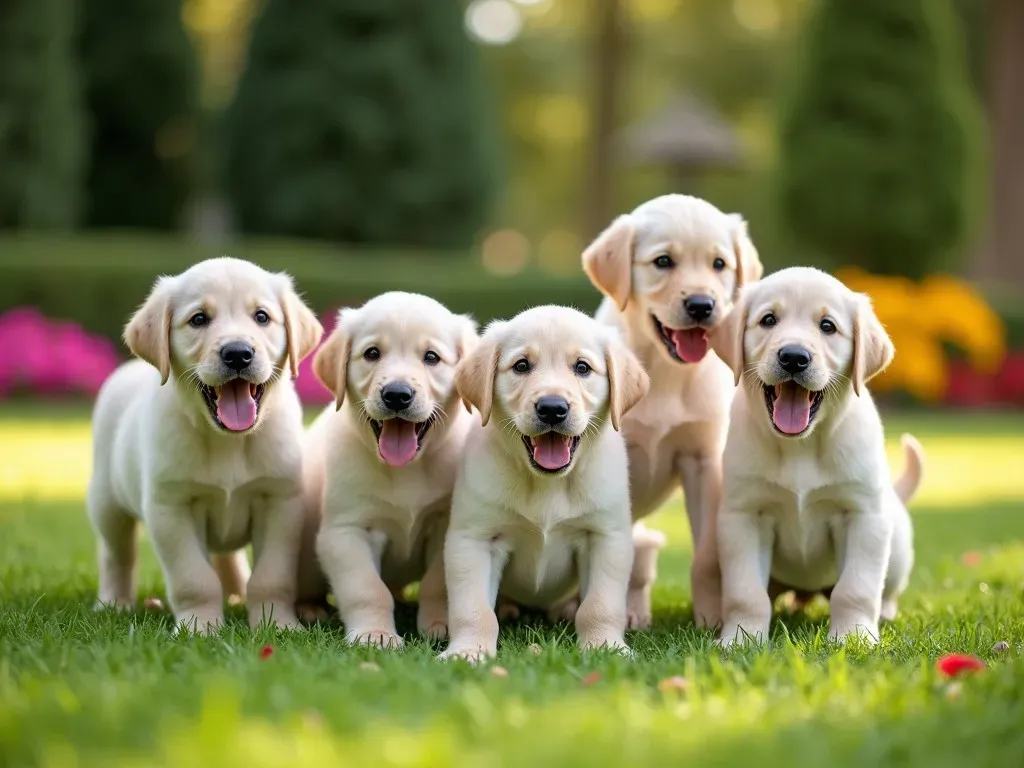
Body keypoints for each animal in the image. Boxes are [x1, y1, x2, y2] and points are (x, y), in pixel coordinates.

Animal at [86, 256, 321, 634]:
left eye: (262, 317)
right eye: (199, 319)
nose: (238, 354)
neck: (228, 441)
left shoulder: (280, 501)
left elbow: (271, 576)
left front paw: (277, 624)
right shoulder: (171, 507)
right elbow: (193, 578)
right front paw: (199, 627)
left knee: (227, 556)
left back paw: (236, 594)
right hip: (107, 501)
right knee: (116, 553)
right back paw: (114, 603)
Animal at [299, 292, 479, 651]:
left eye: (431, 357)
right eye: (372, 353)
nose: (397, 394)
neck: (406, 468)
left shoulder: (443, 524)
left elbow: (436, 583)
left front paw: (438, 624)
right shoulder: (345, 531)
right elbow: (367, 589)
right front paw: (375, 634)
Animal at [438, 305, 647, 663]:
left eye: (582, 367)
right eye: (522, 365)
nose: (552, 408)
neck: (547, 483)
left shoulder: (605, 537)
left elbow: (600, 605)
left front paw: (606, 648)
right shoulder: (474, 539)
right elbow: (473, 608)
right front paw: (468, 651)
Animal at [581, 193, 765, 630]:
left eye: (719, 264)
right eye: (663, 261)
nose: (702, 305)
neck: (664, 371)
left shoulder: (703, 462)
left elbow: (707, 556)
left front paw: (712, 615)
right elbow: (621, 557)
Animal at [708, 268, 925, 647]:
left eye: (827, 326)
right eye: (768, 320)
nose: (794, 357)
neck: (801, 446)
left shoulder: (863, 515)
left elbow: (856, 588)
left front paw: (854, 636)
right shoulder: (744, 515)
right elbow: (745, 591)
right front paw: (741, 637)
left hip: (895, 545)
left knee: (887, 589)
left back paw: (884, 612)